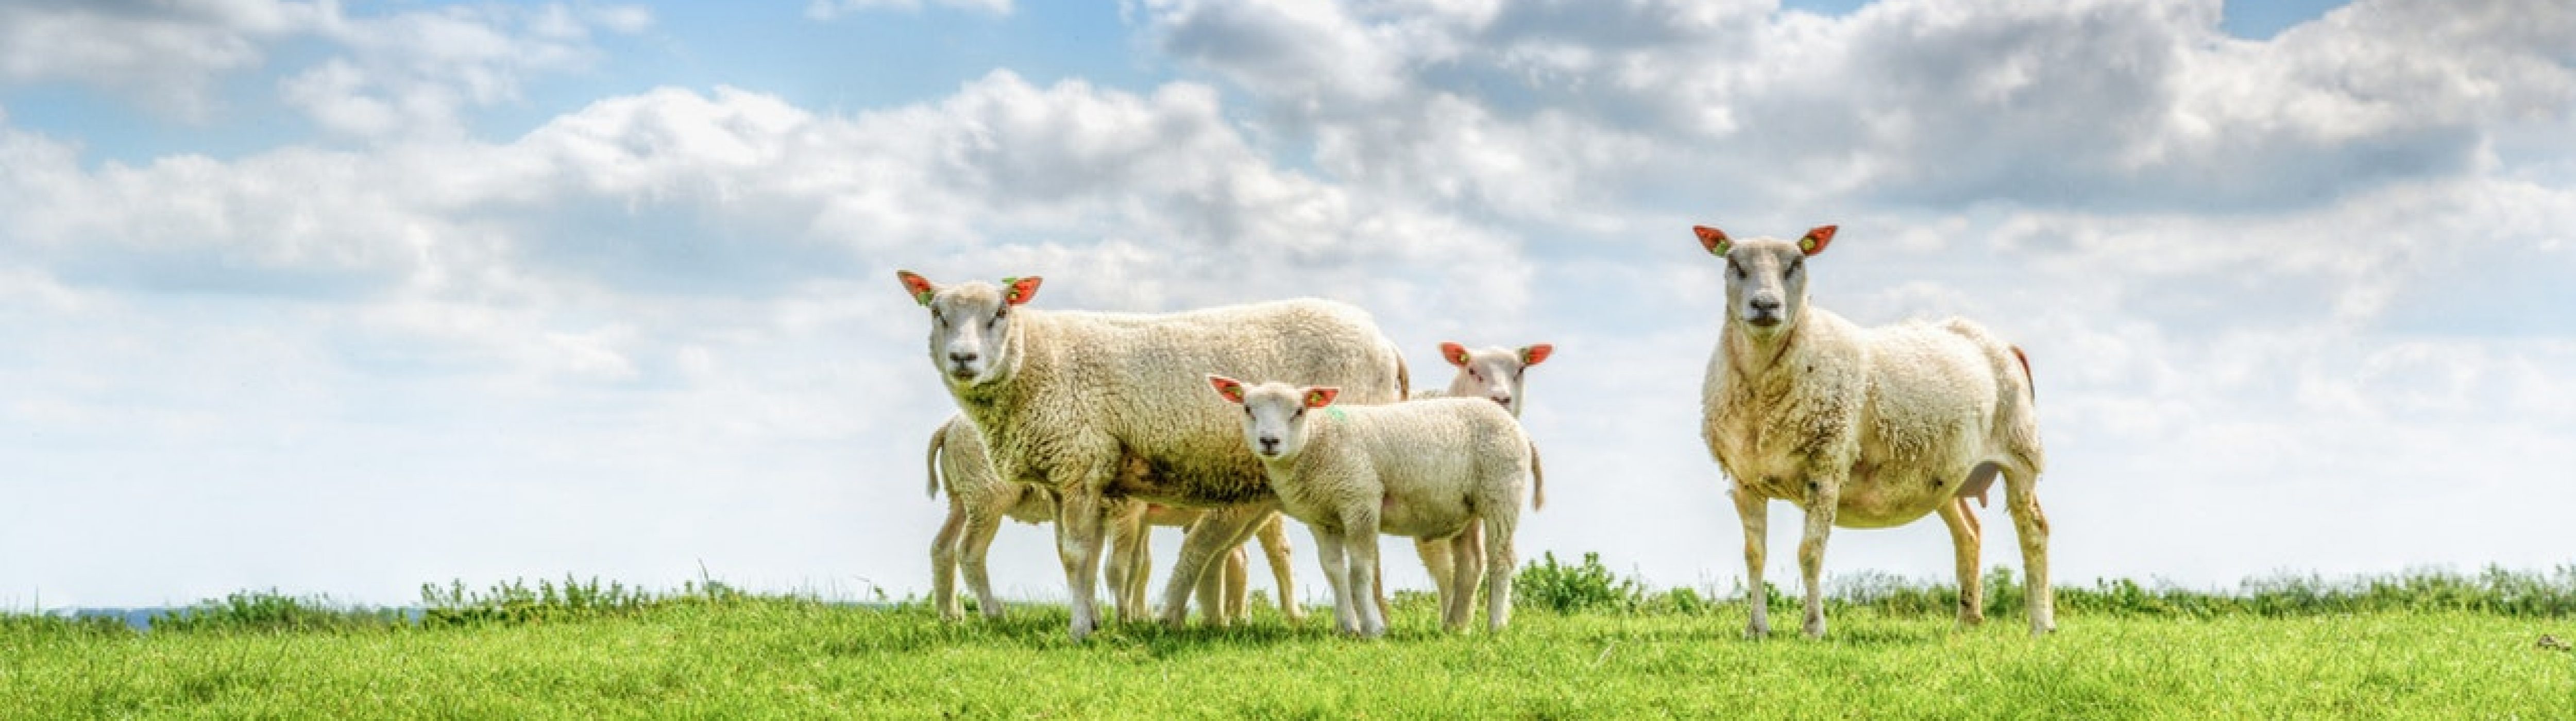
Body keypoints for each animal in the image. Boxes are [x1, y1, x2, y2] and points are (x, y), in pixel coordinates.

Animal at [891, 271, 1412, 641]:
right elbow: (1079, 556)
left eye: (1000, 312)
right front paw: (1096, 621)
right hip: (976, 497)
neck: (1037, 360)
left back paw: (1370, 622)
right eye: (936, 312)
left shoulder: (1081, 463)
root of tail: (1386, 344)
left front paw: (1080, 630)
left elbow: (1080, 555)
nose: (963, 359)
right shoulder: (1072, 475)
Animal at [1200, 373, 1525, 633]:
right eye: (1247, 409)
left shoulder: (1360, 500)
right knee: (1471, 564)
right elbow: (1333, 570)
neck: (1318, 441)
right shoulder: (1321, 517)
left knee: (1501, 559)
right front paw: (1347, 627)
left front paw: (1372, 627)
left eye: (1299, 411)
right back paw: (1455, 627)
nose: (1270, 441)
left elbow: (1360, 570)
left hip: (1502, 492)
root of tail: (1509, 421)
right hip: (1468, 507)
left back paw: (1496, 626)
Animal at [1690, 222, 2050, 639]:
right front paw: (1756, 631)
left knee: (2035, 531)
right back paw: (1968, 621)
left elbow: (1810, 552)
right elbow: (1754, 556)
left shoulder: (1826, 467)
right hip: (1945, 473)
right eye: (1734, 264)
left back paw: (2041, 625)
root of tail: (2002, 344)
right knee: (1969, 532)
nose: (1766, 306)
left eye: (1797, 263)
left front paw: (1814, 629)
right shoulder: (1743, 478)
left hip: (2021, 451)